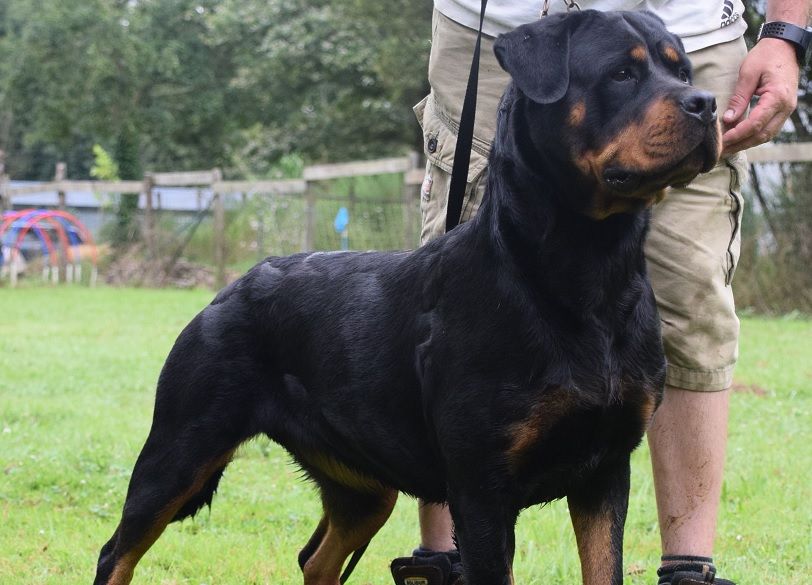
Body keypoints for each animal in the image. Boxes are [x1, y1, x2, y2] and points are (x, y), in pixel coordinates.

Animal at [93, 10, 716, 584]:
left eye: (681, 70)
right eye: (620, 73)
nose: (707, 103)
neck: (587, 275)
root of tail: (231, 288)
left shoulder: (605, 471)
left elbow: (604, 567)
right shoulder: (482, 492)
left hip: (362, 484)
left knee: (315, 558)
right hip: (181, 448)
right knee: (117, 552)